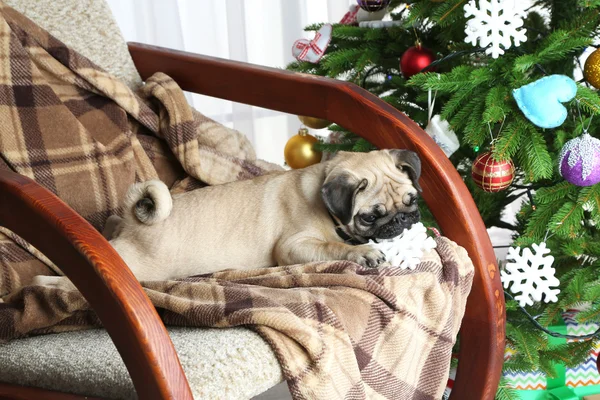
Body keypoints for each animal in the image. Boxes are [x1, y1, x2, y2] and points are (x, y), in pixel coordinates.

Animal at [32, 150, 422, 288]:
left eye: (412, 201)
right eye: (371, 217)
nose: (403, 221)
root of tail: (134, 218)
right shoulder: (292, 248)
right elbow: (333, 246)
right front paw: (362, 253)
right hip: (130, 265)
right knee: (54, 282)